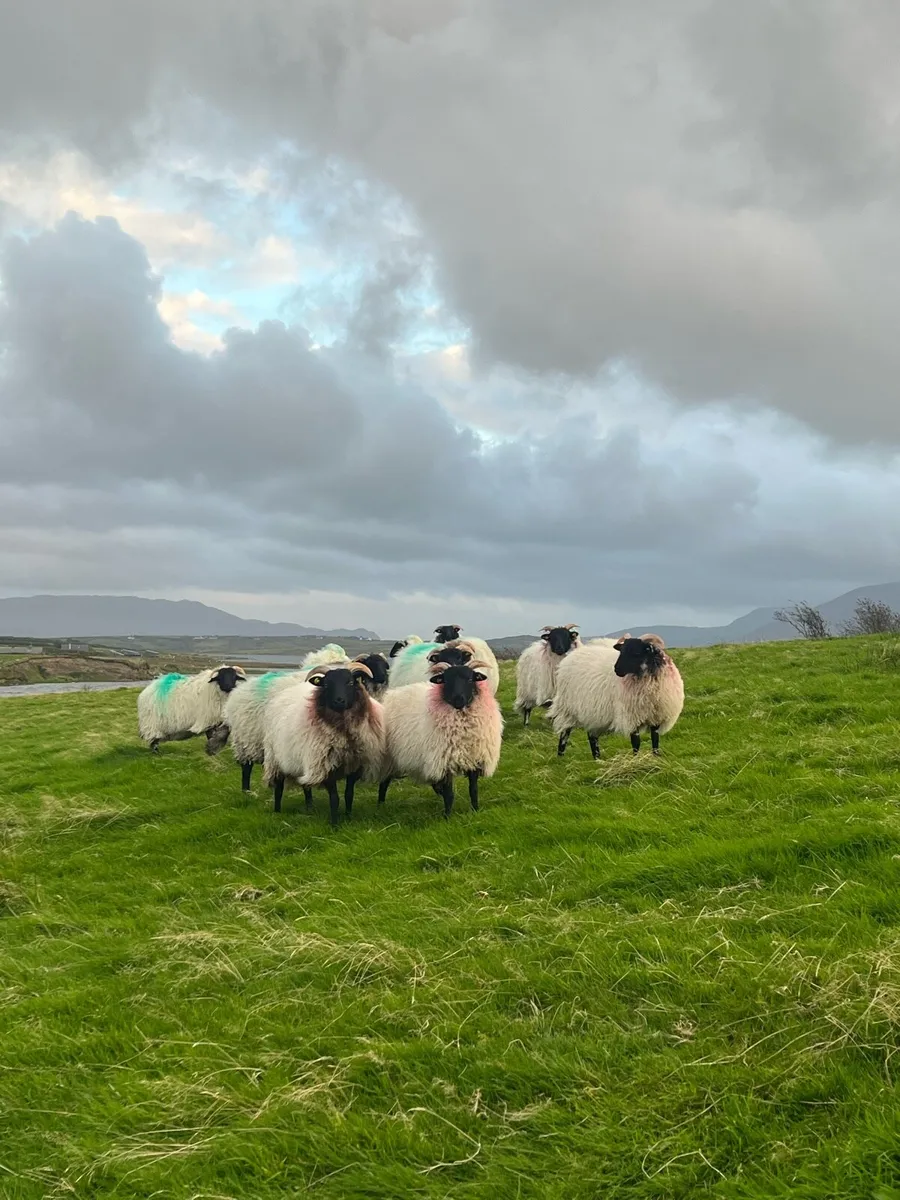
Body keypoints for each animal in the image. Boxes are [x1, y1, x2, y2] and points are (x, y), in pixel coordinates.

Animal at [263, 661, 385, 826]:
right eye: (327, 684)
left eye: (350, 682)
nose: (339, 700)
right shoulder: (326, 766)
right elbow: (334, 799)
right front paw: (334, 824)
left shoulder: (355, 765)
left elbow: (349, 794)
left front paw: (348, 816)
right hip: (275, 759)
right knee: (279, 787)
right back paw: (277, 811)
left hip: (303, 760)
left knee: (306, 786)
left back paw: (309, 807)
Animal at [377, 657, 503, 816]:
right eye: (446, 680)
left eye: (470, 679)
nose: (458, 699)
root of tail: (391, 695)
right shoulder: (444, 763)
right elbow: (449, 794)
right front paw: (447, 816)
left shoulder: (475, 759)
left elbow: (473, 790)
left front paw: (475, 810)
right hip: (390, 757)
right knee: (384, 782)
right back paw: (380, 805)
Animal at [549, 633, 683, 759]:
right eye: (621, 651)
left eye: (636, 653)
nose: (616, 669)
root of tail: (570, 657)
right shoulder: (631, 716)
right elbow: (636, 742)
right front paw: (635, 760)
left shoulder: (657, 716)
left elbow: (655, 740)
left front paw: (656, 757)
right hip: (567, 708)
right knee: (564, 732)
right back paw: (560, 756)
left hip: (592, 711)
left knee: (592, 736)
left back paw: (597, 758)